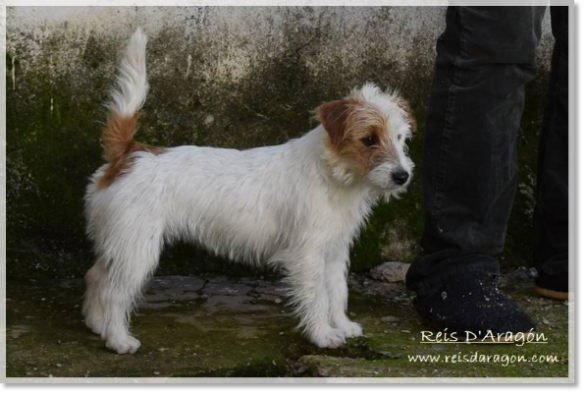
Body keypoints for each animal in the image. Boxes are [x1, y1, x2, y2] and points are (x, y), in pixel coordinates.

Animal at [82, 27, 416, 354]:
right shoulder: (307, 254)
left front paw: (342, 325)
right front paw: (322, 335)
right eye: (369, 139)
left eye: (400, 137)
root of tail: (129, 153)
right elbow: (317, 295)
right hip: (137, 250)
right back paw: (118, 339)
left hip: (120, 243)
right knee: (113, 292)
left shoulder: (334, 252)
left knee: (96, 276)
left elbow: (337, 290)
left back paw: (97, 326)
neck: (331, 172)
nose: (402, 176)